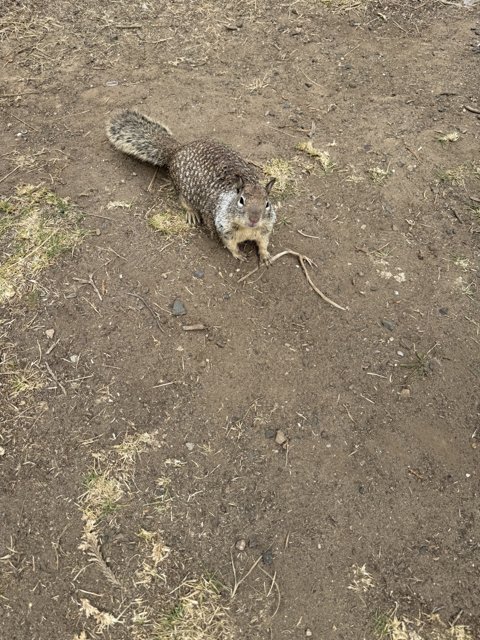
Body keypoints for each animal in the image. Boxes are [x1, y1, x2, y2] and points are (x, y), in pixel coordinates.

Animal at [106, 110, 276, 263]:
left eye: (267, 203)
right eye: (241, 200)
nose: (254, 219)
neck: (248, 229)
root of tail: (178, 149)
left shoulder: (265, 230)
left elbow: (263, 243)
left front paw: (265, 255)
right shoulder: (223, 229)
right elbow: (230, 245)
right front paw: (238, 254)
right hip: (182, 190)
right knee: (183, 201)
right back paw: (192, 213)